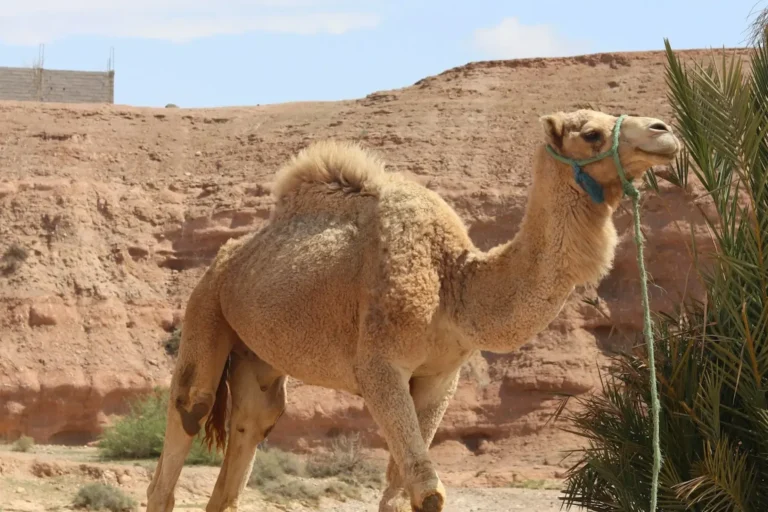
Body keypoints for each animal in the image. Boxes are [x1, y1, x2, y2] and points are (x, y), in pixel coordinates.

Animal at [145, 109, 680, 512]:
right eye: (591, 132)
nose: (664, 131)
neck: (455, 283)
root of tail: (227, 257)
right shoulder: (380, 365)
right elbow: (428, 492)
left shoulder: (440, 376)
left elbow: (401, 494)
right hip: (206, 306)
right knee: (186, 416)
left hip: (258, 352)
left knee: (253, 425)